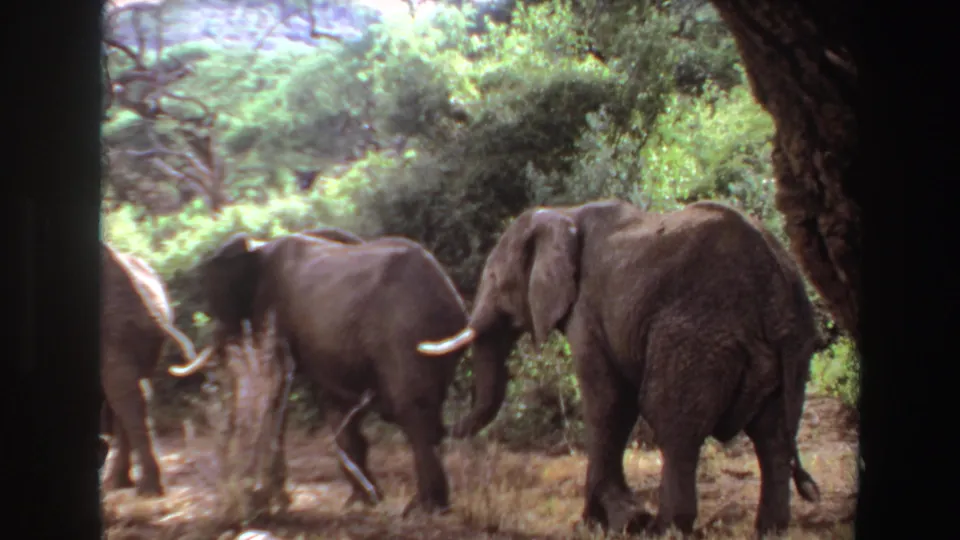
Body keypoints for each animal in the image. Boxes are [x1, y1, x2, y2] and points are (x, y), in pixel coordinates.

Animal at [167, 227, 513, 515]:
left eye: (215, 299)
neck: (259, 245)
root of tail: (451, 296)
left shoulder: (272, 315)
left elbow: (276, 390)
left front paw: (276, 501)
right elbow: (335, 405)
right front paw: (363, 501)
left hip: (405, 332)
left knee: (413, 412)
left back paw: (426, 508)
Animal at [417, 199, 822, 537]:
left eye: (495, 280)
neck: (565, 213)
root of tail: (777, 279)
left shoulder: (587, 309)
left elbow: (609, 401)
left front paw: (603, 521)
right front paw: (609, 518)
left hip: (697, 337)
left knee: (674, 424)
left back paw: (663, 528)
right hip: (793, 348)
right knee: (773, 436)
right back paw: (770, 530)